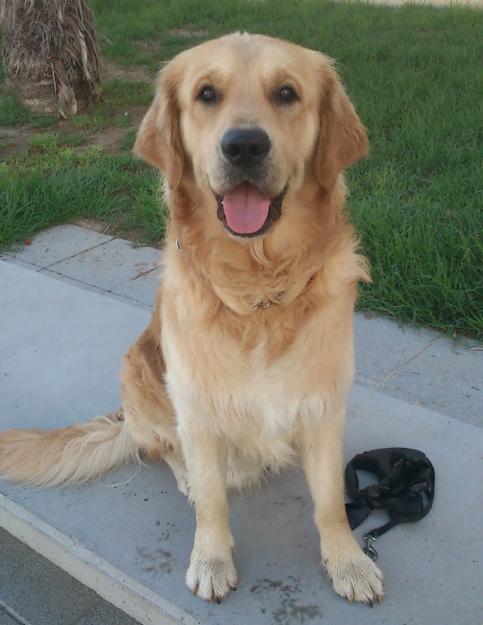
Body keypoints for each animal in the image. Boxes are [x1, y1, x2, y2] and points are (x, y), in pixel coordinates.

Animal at [0, 34, 386, 604]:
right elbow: (211, 499)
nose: (244, 146)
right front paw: (211, 560)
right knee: (160, 448)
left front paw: (348, 562)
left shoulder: (322, 405)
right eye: (206, 94)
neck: (257, 290)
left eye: (286, 92)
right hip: (139, 372)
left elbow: (331, 502)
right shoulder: (199, 410)